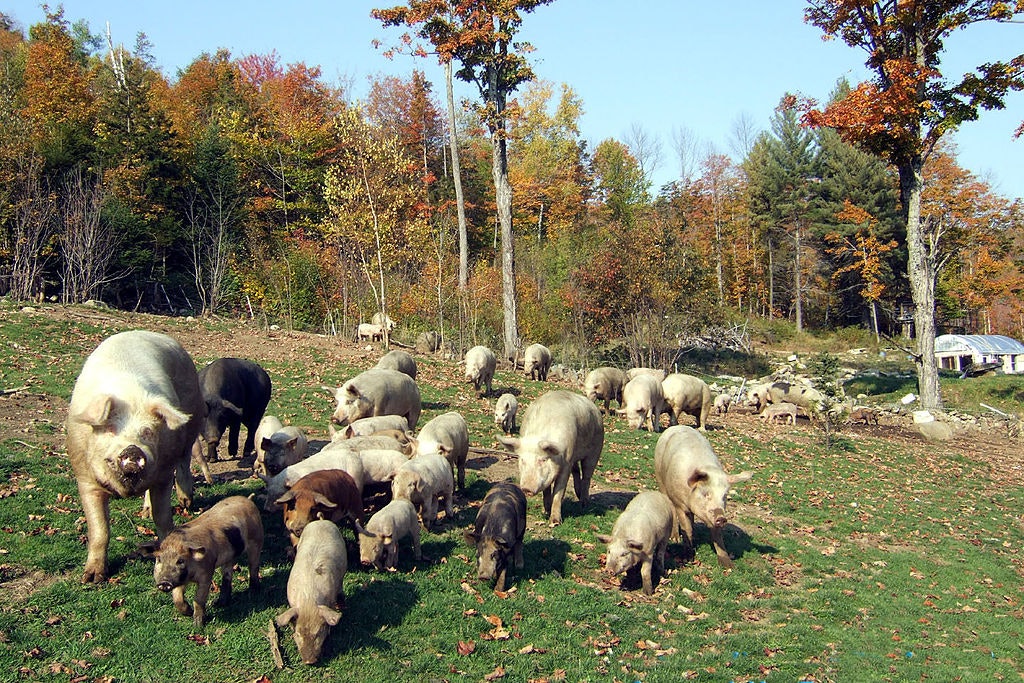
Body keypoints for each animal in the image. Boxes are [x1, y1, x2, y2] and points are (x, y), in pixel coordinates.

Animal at [66, 330, 204, 583]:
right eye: (110, 429)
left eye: (147, 432)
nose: (132, 450)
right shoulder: (85, 479)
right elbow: (99, 529)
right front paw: (91, 579)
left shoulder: (162, 474)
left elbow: (163, 518)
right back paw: (145, 512)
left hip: (192, 419)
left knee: (184, 460)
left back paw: (186, 502)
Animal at [141, 495, 263, 627]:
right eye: (159, 559)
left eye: (180, 561)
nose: (164, 582)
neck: (190, 575)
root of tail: (247, 499)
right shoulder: (179, 579)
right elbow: (177, 598)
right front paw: (188, 612)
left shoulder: (206, 573)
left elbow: (198, 599)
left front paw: (198, 625)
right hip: (229, 556)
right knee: (227, 575)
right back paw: (218, 604)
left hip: (256, 540)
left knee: (253, 566)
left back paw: (253, 593)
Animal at [498, 390, 604, 526]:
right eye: (522, 460)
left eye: (543, 459)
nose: (527, 488)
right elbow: (547, 490)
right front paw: (546, 511)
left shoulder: (567, 462)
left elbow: (559, 491)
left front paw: (555, 522)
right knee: (576, 471)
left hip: (596, 448)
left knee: (587, 476)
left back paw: (584, 503)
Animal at [654, 425, 752, 568]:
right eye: (706, 493)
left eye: (724, 495)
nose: (721, 518)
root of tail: (676, 426)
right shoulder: (680, 504)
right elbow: (686, 528)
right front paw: (687, 558)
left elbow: (717, 536)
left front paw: (729, 566)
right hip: (660, 477)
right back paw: (675, 538)